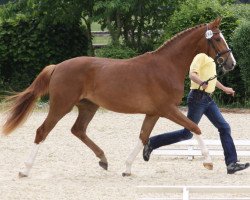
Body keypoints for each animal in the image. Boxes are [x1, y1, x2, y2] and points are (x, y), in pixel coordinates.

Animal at [2, 17, 235, 177]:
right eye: (217, 38)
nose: (231, 63)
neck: (167, 66)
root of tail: (57, 66)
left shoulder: (154, 113)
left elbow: (143, 136)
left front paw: (127, 168)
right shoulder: (168, 109)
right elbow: (195, 128)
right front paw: (208, 161)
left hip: (88, 107)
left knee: (78, 130)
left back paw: (103, 159)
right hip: (61, 105)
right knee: (42, 131)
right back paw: (25, 170)